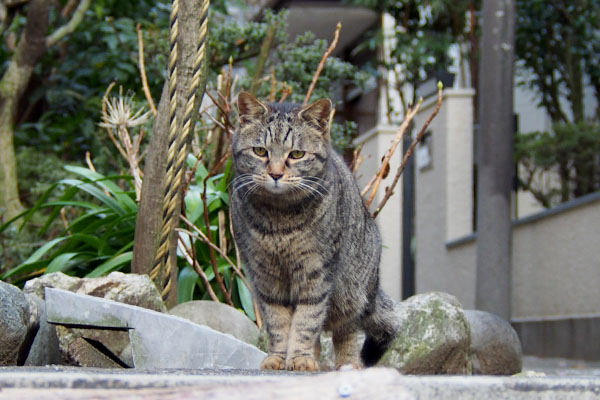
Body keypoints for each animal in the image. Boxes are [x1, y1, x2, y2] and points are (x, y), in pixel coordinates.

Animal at [231, 91, 398, 372]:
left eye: (297, 154)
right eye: (260, 151)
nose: (275, 174)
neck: (280, 219)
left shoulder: (316, 273)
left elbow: (306, 321)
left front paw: (299, 357)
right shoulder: (266, 276)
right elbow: (278, 322)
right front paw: (280, 357)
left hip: (350, 292)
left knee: (346, 331)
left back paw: (347, 365)